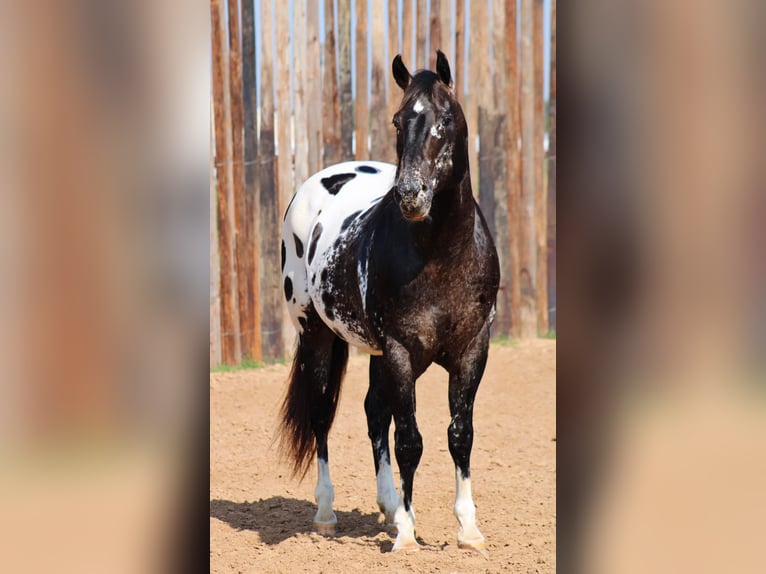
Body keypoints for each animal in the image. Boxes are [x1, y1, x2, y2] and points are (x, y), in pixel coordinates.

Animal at [280, 49, 500, 552]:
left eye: (446, 119)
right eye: (399, 121)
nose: (410, 195)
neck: (441, 257)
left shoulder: (472, 350)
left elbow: (460, 434)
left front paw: (468, 529)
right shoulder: (400, 351)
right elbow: (410, 442)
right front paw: (405, 534)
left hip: (376, 353)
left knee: (374, 413)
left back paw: (387, 505)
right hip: (317, 334)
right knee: (322, 416)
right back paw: (328, 512)